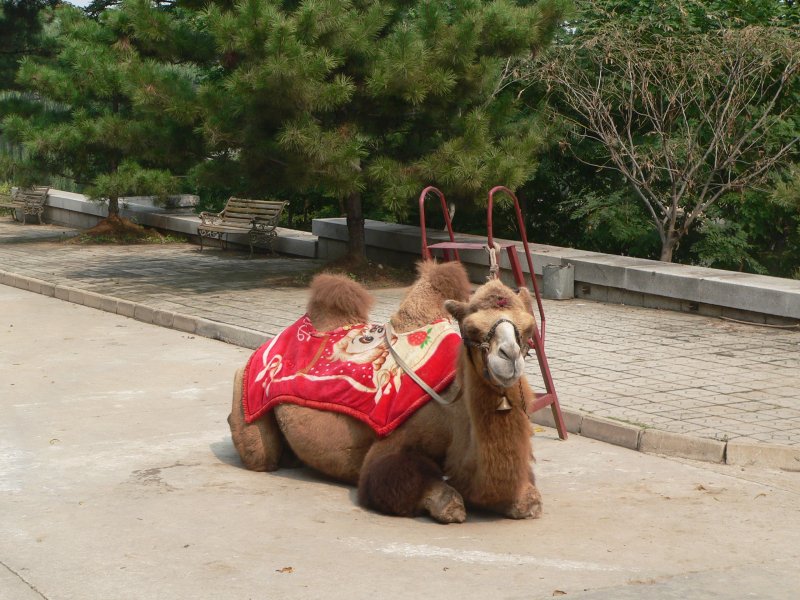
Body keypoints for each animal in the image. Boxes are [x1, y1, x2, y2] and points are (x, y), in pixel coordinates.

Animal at [227, 260, 544, 524]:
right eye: (471, 331)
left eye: (529, 329)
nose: (508, 357)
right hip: (245, 392)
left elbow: (530, 502)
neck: (455, 413)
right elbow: (398, 482)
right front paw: (448, 502)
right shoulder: (392, 447)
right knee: (260, 453)